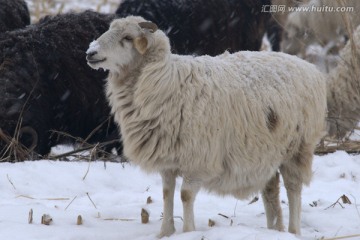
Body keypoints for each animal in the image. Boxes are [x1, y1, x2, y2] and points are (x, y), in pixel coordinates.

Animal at [86, 16, 328, 236]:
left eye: (128, 38)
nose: (91, 52)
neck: (164, 80)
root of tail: (310, 68)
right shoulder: (168, 158)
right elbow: (167, 193)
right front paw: (165, 232)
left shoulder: (198, 157)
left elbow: (185, 195)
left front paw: (188, 231)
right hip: (267, 153)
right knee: (271, 190)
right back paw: (274, 230)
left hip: (298, 148)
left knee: (293, 189)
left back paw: (293, 231)